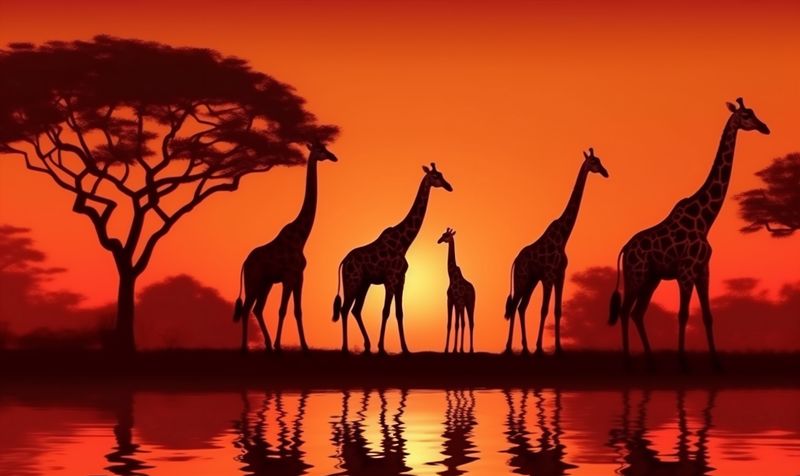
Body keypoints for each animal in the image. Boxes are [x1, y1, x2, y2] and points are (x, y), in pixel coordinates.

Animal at [233, 141, 338, 353]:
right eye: (320, 150)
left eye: (326, 147)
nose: (333, 157)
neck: (301, 238)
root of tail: (245, 262)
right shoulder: (289, 277)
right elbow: (282, 310)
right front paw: (279, 345)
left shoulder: (299, 276)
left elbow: (298, 311)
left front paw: (304, 346)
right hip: (253, 281)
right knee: (247, 308)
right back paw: (246, 347)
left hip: (265, 283)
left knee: (257, 308)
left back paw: (266, 345)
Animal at [332, 163, 453, 354]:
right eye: (435, 176)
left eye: (442, 174)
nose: (449, 186)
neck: (404, 243)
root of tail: (344, 261)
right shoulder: (390, 279)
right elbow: (385, 311)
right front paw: (382, 348)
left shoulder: (401, 280)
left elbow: (399, 312)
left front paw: (405, 348)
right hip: (352, 281)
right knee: (345, 309)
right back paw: (345, 348)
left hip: (364, 283)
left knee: (356, 310)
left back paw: (367, 346)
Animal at [505, 148, 609, 356]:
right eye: (594, 162)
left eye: (600, 160)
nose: (605, 172)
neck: (563, 237)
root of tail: (515, 261)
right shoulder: (549, 275)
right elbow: (544, 309)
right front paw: (539, 348)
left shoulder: (560, 274)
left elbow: (557, 310)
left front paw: (559, 348)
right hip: (522, 279)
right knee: (513, 307)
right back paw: (509, 348)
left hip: (531, 281)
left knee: (521, 307)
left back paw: (525, 348)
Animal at [609, 98, 770, 370]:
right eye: (746, 116)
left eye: (754, 113)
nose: (765, 128)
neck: (705, 220)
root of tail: (625, 248)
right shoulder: (685, 272)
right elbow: (683, 315)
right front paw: (683, 362)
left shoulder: (703, 271)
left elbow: (707, 315)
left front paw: (716, 363)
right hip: (636, 275)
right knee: (624, 311)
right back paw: (629, 362)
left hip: (651, 278)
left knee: (637, 313)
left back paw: (651, 362)